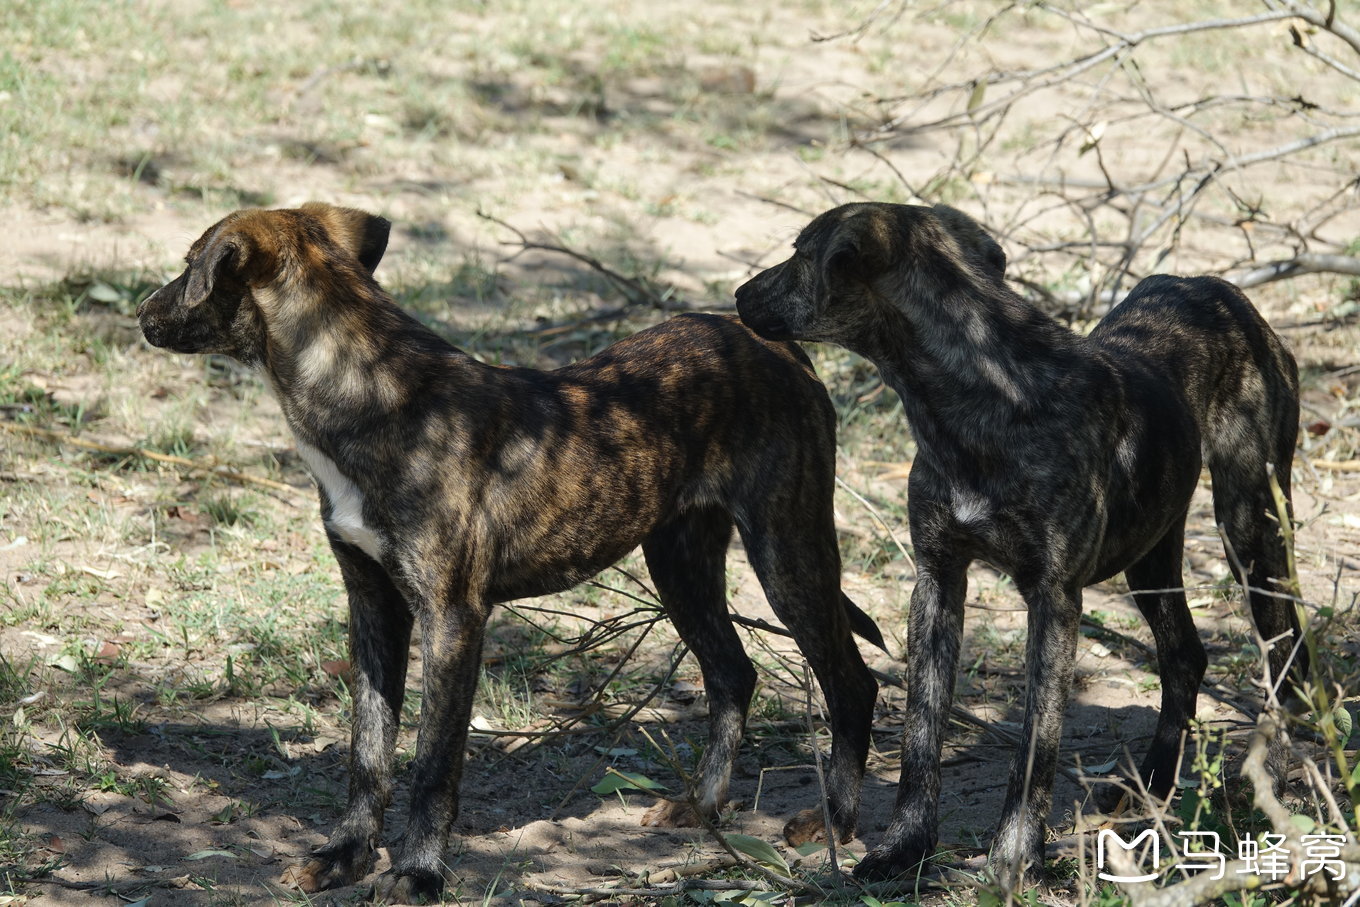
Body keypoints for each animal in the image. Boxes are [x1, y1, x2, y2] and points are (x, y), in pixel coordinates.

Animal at [138, 202, 881, 902]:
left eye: (190, 264)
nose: (142, 313)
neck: (370, 395)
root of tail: (777, 346)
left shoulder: (452, 619)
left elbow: (432, 766)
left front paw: (418, 873)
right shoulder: (373, 606)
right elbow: (368, 754)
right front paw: (346, 856)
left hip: (787, 553)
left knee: (852, 679)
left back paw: (838, 822)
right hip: (679, 563)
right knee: (733, 673)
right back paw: (703, 806)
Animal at [734, 202, 1305, 892]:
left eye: (799, 253)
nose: (738, 296)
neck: (982, 393)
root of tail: (1224, 292)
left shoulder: (1053, 600)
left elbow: (1037, 745)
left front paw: (1013, 856)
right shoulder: (938, 580)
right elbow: (922, 734)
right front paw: (904, 848)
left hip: (1250, 530)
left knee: (1286, 655)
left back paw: (1280, 778)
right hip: (1150, 553)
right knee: (1185, 655)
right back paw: (1150, 785)